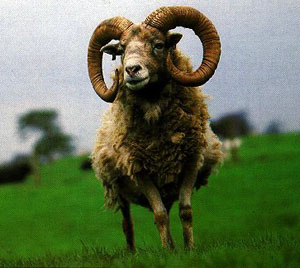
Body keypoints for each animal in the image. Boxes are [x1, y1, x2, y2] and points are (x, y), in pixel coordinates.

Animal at [86, 5, 223, 250]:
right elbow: (159, 215)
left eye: (158, 45)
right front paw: (167, 252)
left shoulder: (191, 161)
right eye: (122, 49)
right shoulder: (139, 170)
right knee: (128, 224)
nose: (131, 70)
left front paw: (189, 250)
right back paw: (133, 251)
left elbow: (185, 211)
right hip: (119, 189)